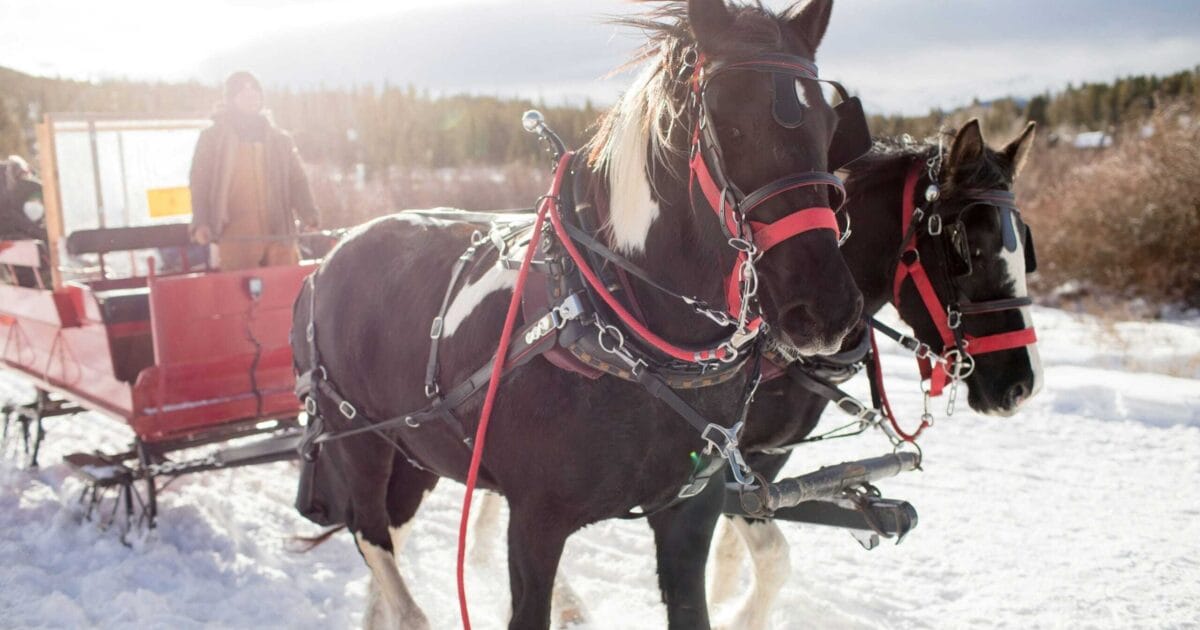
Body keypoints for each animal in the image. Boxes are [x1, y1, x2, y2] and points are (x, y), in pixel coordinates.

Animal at [291, 1, 867, 628]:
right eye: (728, 123)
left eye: (830, 128)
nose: (825, 309)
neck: (626, 331)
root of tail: (329, 257)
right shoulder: (535, 523)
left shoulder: (690, 515)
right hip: (358, 438)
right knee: (373, 539)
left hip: (416, 450)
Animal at [471, 119, 1045, 629]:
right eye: (967, 249)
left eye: (1026, 247)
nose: (1022, 385)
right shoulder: (730, 457)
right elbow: (771, 553)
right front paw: (736, 613)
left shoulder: (766, 457)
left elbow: (739, 548)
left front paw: (724, 597)